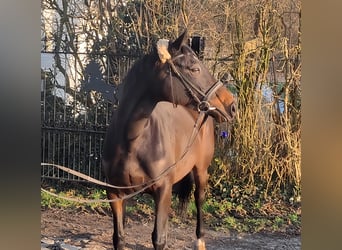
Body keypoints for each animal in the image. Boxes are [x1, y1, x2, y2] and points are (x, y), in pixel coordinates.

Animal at [101, 31, 235, 250]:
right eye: (195, 68)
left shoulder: (163, 191)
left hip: (201, 171)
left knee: (199, 201)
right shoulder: (115, 194)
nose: (232, 105)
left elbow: (159, 238)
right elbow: (119, 237)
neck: (133, 141)